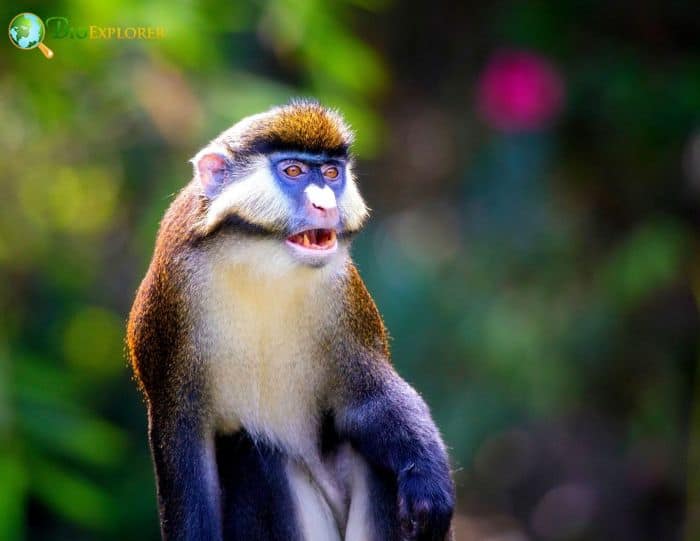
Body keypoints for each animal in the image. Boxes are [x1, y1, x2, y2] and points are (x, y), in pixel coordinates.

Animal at [127, 99, 455, 541]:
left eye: (331, 173)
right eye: (294, 171)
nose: (326, 205)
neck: (259, 263)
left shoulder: (343, 298)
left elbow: (368, 399)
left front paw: (427, 480)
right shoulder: (171, 312)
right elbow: (186, 456)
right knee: (253, 452)